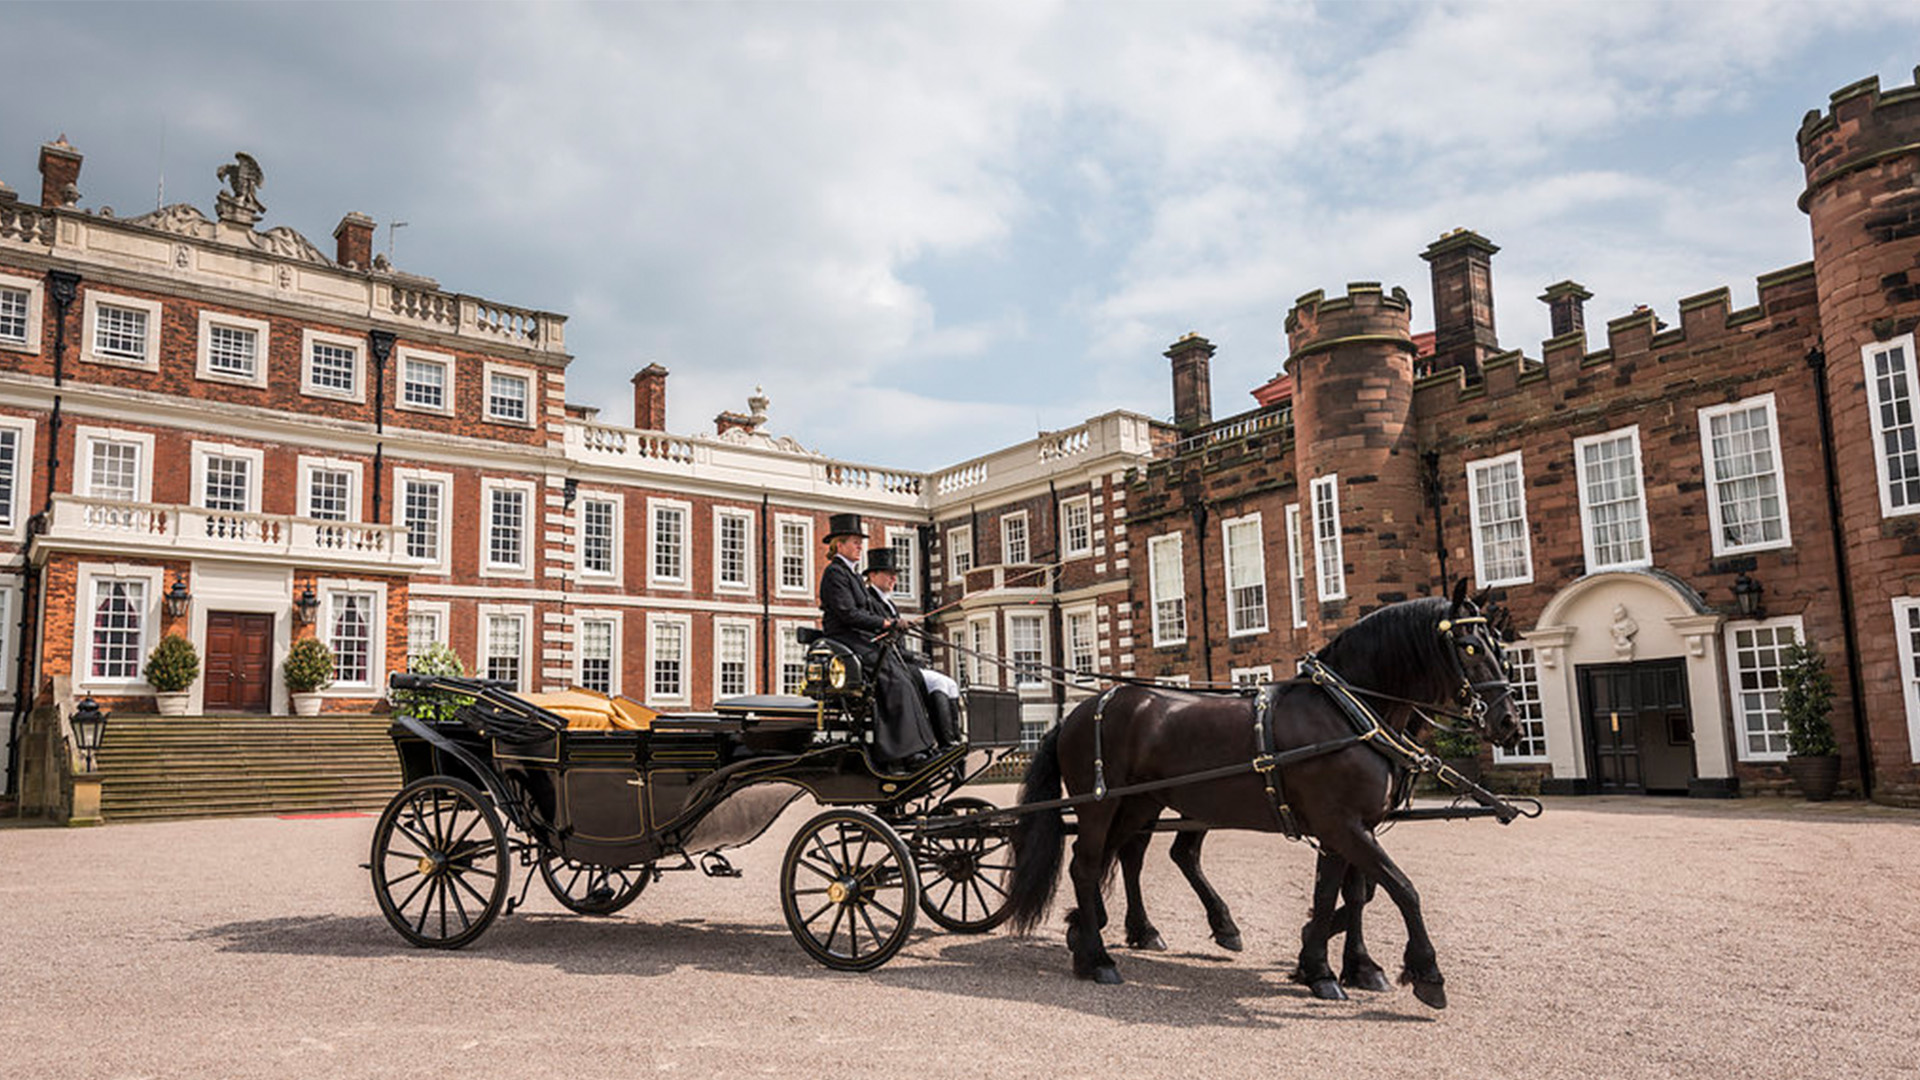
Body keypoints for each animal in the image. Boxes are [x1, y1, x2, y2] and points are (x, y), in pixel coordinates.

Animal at [1006, 584, 1512, 1006]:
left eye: (1499, 648)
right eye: (1469, 646)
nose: (1508, 720)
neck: (1345, 712)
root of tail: (1080, 710)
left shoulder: (1349, 828)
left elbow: (1345, 893)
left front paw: (1334, 966)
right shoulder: (1341, 825)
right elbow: (1401, 889)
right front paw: (1424, 972)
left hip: (1140, 804)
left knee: (1118, 858)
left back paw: (1098, 931)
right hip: (1101, 804)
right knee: (1088, 864)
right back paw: (1098, 958)